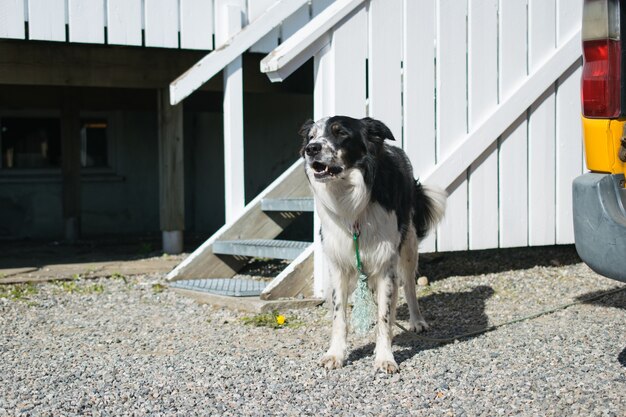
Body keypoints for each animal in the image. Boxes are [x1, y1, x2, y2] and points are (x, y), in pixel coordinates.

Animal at [298, 115, 444, 372]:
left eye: (340, 133)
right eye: (311, 136)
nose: (311, 150)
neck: (351, 200)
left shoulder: (386, 263)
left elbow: (384, 316)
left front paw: (385, 357)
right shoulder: (339, 264)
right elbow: (339, 316)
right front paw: (335, 354)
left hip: (408, 246)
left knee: (408, 286)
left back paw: (416, 321)